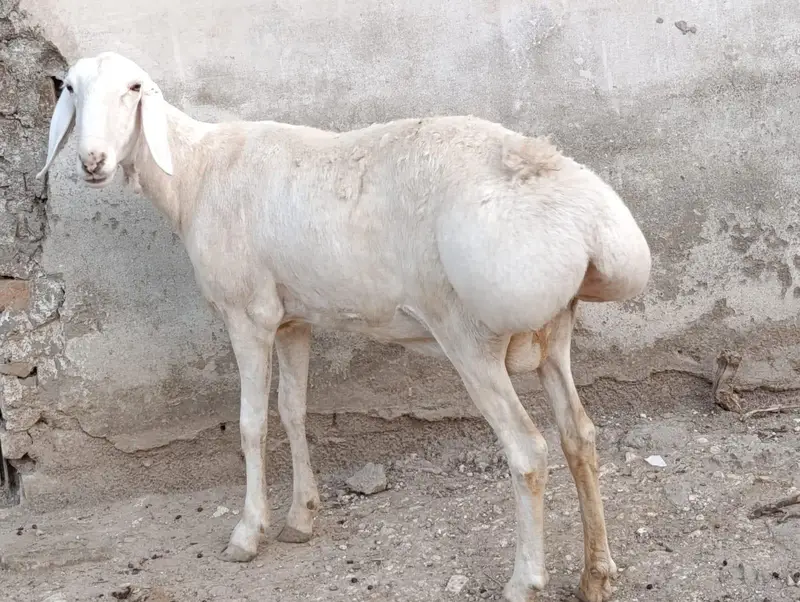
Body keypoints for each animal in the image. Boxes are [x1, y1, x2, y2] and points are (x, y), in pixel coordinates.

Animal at [37, 51, 651, 602]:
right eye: (70, 89)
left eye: (134, 88)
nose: (92, 161)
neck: (194, 173)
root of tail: (591, 229)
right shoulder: (292, 320)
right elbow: (293, 411)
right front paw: (301, 517)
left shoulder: (248, 314)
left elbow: (252, 424)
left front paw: (248, 534)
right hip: (556, 332)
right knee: (579, 436)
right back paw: (596, 576)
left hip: (471, 337)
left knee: (528, 451)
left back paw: (524, 581)